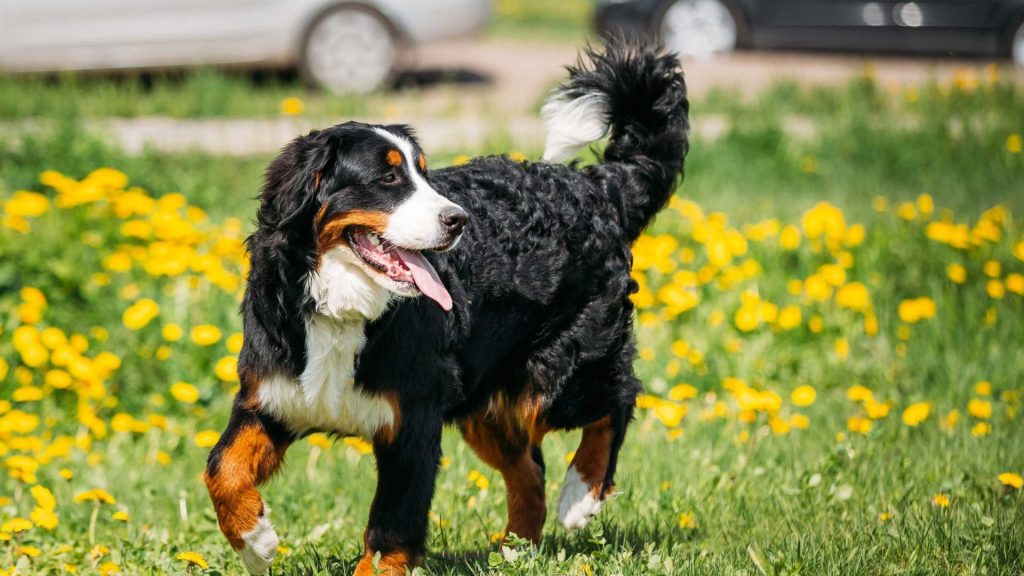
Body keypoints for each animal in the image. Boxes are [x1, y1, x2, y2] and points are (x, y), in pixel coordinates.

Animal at [201, 38, 688, 569]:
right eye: (389, 179)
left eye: (424, 174)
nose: (459, 220)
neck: (345, 309)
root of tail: (597, 186)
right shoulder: (272, 399)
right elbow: (221, 467)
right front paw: (256, 541)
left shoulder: (411, 423)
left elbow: (390, 530)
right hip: (485, 400)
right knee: (529, 469)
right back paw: (513, 551)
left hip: (559, 373)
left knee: (617, 399)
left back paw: (580, 494)